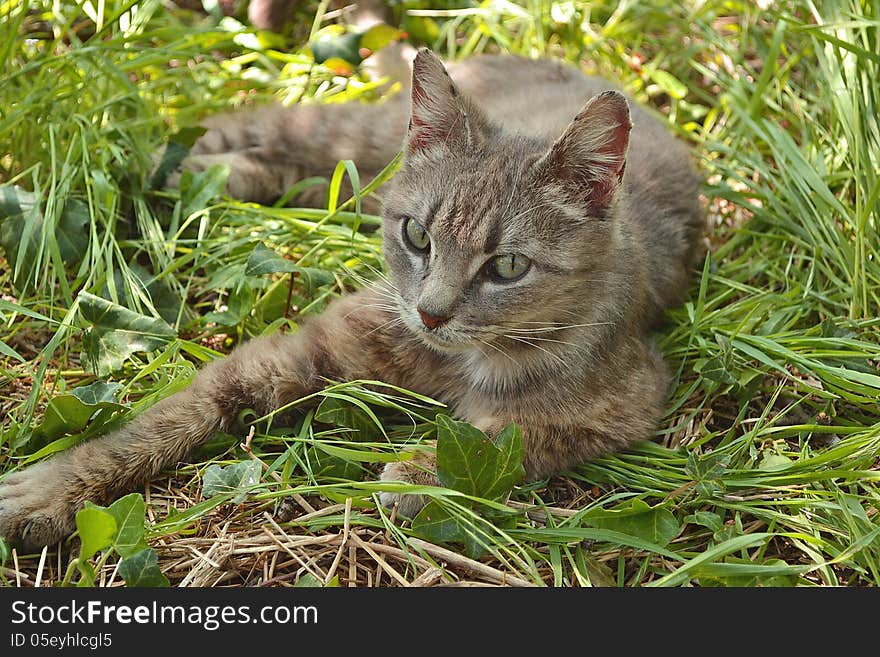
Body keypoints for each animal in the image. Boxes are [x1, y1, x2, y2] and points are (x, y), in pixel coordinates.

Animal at [0, 48, 700, 548]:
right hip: (356, 133)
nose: (431, 313)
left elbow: (506, 435)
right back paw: (156, 159)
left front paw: (421, 472)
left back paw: (208, 173)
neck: (451, 358)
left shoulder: (626, 400)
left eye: (507, 266)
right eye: (416, 235)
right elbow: (166, 418)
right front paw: (51, 490)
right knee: (264, 119)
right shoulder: (301, 349)